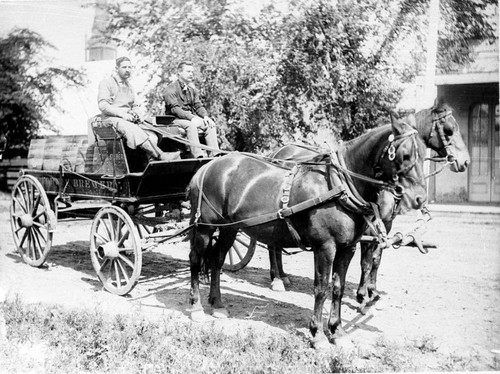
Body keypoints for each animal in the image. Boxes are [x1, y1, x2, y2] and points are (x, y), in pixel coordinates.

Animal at [187, 115, 426, 346]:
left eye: (424, 155)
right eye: (404, 155)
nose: (419, 199)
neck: (339, 187)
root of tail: (206, 167)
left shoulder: (347, 247)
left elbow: (338, 288)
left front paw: (337, 331)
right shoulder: (325, 247)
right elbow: (321, 288)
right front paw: (318, 335)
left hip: (229, 229)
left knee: (217, 260)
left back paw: (218, 304)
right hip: (205, 228)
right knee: (196, 259)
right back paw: (197, 307)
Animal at [268, 102, 470, 310]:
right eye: (449, 130)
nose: (464, 161)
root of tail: (279, 151)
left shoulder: (385, 223)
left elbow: (376, 258)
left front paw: (371, 291)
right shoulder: (369, 224)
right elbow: (366, 259)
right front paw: (363, 295)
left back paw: (282, 276)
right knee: (272, 245)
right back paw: (277, 279)